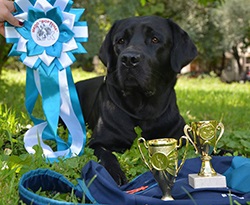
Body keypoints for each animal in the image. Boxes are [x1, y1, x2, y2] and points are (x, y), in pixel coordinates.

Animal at [76, 16, 197, 186]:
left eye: (154, 39)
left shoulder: (182, 135)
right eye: (120, 40)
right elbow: (106, 154)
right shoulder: (98, 142)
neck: (143, 108)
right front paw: (113, 173)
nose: (128, 59)